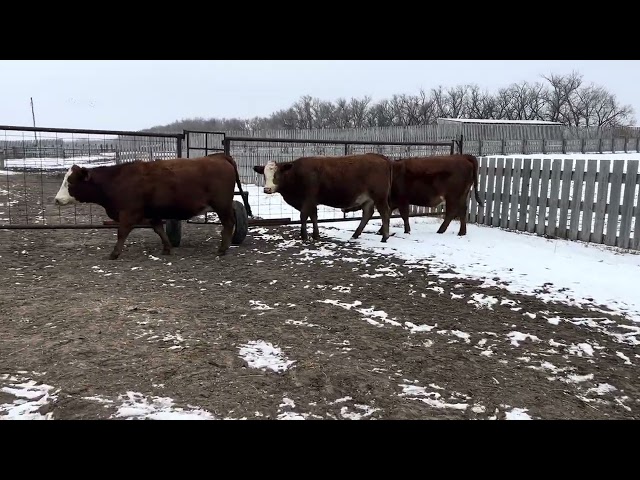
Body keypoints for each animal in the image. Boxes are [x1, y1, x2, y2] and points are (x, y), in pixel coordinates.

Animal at [53, 153, 249, 258]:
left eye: (70, 182)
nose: (56, 199)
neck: (116, 180)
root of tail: (218, 156)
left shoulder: (128, 213)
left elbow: (122, 232)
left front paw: (114, 253)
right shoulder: (152, 213)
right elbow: (159, 230)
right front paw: (167, 248)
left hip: (222, 205)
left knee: (228, 223)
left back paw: (222, 249)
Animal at [252, 154, 392, 242]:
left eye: (277, 174)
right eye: (264, 175)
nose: (267, 189)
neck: (296, 174)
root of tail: (380, 157)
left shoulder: (308, 199)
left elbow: (304, 216)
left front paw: (304, 236)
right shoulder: (312, 202)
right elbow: (313, 216)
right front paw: (316, 235)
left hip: (379, 196)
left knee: (385, 213)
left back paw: (384, 237)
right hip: (368, 199)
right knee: (368, 213)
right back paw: (355, 235)